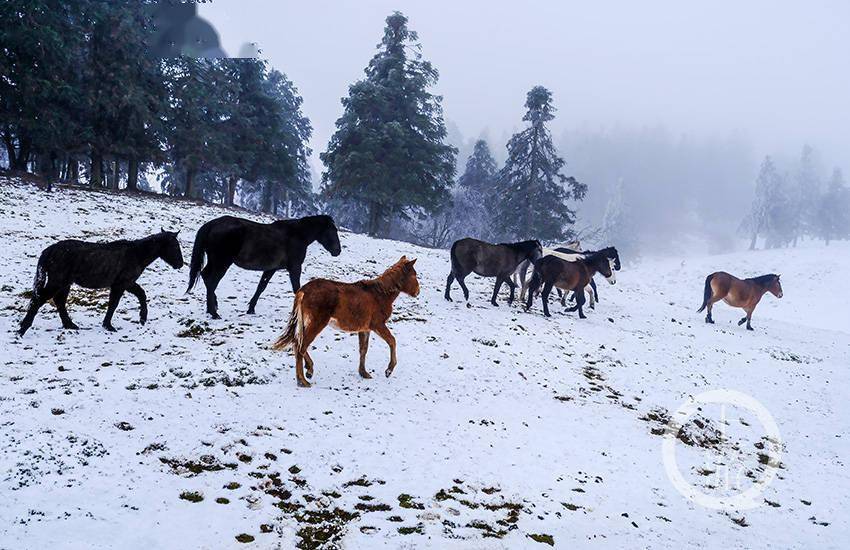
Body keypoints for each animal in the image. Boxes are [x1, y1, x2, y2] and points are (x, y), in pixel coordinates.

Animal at [18, 229, 184, 336]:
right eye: (175, 246)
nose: (180, 264)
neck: (136, 254)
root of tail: (50, 250)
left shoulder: (127, 283)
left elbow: (141, 295)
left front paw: (142, 319)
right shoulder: (121, 284)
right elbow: (114, 304)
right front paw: (108, 326)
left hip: (65, 284)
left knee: (59, 302)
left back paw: (69, 325)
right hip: (57, 282)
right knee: (40, 300)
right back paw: (22, 329)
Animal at [187, 215, 340, 320]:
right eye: (332, 231)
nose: (338, 251)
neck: (296, 235)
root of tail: (212, 224)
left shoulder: (271, 268)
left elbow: (261, 287)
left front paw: (251, 309)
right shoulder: (295, 267)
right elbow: (297, 288)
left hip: (215, 261)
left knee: (206, 276)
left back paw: (212, 308)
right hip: (222, 262)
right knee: (212, 281)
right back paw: (214, 313)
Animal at [272, 258, 418, 388]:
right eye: (414, 275)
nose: (417, 291)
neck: (379, 294)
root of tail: (303, 291)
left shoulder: (365, 329)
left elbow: (363, 349)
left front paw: (364, 373)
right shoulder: (378, 325)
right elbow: (392, 341)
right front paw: (389, 370)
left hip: (306, 323)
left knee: (297, 343)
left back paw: (309, 370)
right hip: (317, 323)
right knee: (301, 347)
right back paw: (303, 381)